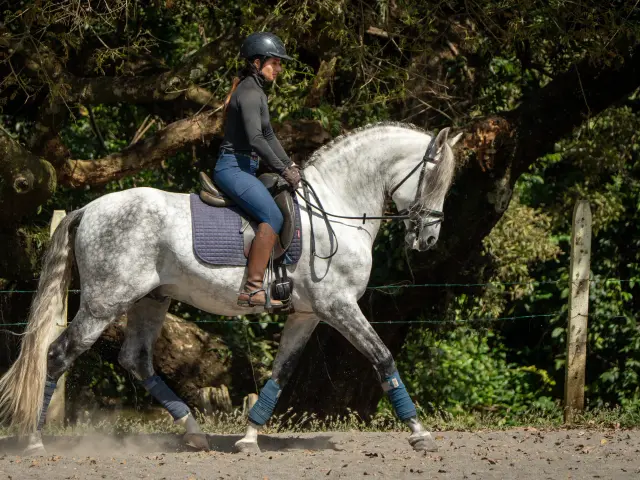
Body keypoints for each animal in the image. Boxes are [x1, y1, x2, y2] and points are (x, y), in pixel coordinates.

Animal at [0, 121, 462, 455]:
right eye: (434, 177)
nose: (428, 240)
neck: (336, 208)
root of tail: (90, 208)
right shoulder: (339, 306)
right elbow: (382, 357)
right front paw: (419, 432)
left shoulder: (307, 314)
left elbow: (280, 372)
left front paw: (250, 437)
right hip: (103, 303)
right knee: (58, 354)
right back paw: (35, 442)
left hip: (150, 300)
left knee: (136, 360)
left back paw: (194, 432)